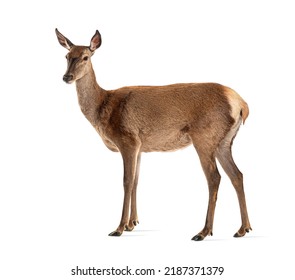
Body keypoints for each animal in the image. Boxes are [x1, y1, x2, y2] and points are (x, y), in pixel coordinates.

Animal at [55, 29, 252, 242]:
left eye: (86, 57)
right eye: (67, 56)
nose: (67, 77)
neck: (103, 107)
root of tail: (242, 105)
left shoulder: (128, 140)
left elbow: (126, 181)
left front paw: (119, 227)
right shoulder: (140, 147)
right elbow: (136, 181)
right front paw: (132, 223)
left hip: (204, 137)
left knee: (214, 177)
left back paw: (204, 231)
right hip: (224, 141)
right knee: (237, 175)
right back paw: (243, 228)